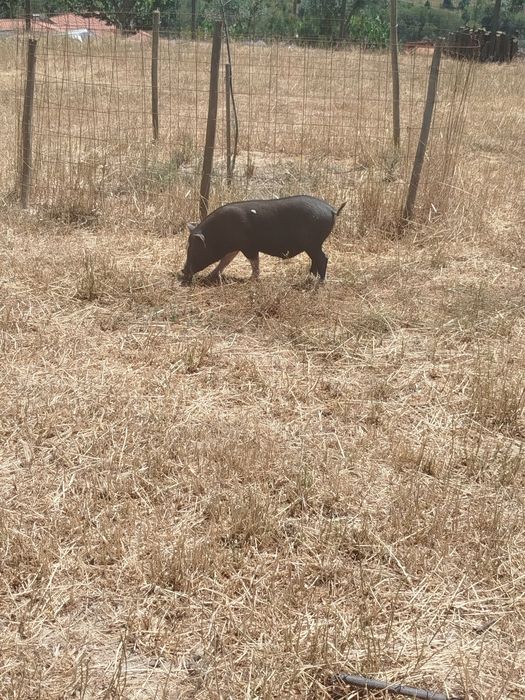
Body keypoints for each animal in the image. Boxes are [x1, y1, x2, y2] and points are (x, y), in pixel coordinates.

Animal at [179, 195, 347, 285]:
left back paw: (320, 283)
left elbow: (254, 262)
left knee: (323, 258)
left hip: (313, 243)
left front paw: (251, 280)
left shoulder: (248, 246)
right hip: (313, 244)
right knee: (315, 260)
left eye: (194, 249)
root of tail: (331, 209)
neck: (218, 232)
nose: (183, 271)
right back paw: (309, 277)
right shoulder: (236, 247)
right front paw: (211, 276)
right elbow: (225, 261)